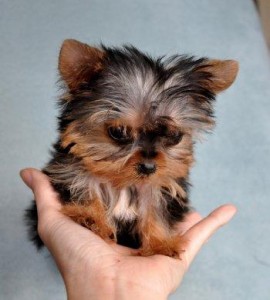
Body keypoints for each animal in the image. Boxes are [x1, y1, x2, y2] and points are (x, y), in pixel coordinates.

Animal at [25, 39, 239, 258]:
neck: (123, 183)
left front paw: (160, 243)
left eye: (175, 136)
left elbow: (157, 208)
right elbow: (84, 185)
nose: (149, 167)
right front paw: (89, 217)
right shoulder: (69, 169)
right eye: (118, 132)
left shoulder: (163, 185)